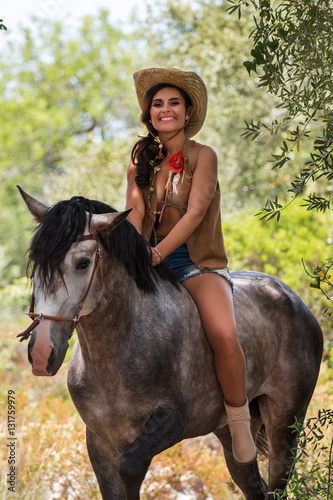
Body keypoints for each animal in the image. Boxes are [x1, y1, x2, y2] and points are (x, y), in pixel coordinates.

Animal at [18, 188, 322, 500]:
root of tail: (294, 299)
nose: (41, 353)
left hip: (285, 423)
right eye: (36, 262)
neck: (118, 349)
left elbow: (131, 466)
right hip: (233, 434)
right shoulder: (100, 442)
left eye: (82, 263)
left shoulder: (171, 422)